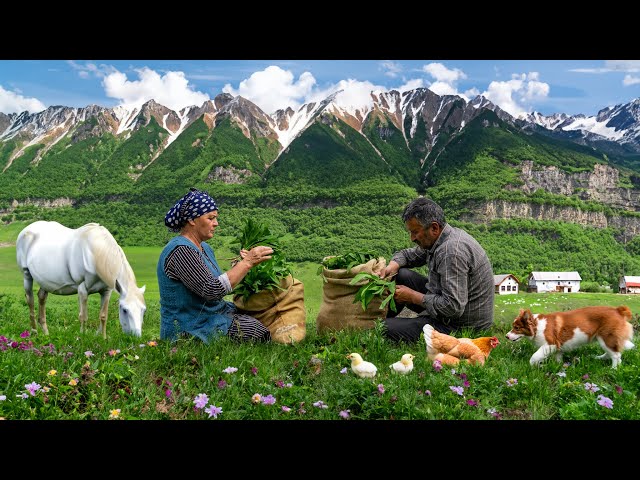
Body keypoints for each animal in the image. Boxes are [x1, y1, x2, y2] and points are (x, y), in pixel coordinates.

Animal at [15, 221, 146, 338]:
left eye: (143, 310)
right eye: (124, 310)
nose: (136, 336)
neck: (96, 254)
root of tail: (26, 229)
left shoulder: (106, 291)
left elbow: (103, 315)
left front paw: (103, 338)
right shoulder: (83, 289)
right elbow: (83, 316)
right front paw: (82, 338)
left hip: (45, 281)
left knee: (42, 297)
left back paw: (46, 333)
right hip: (27, 275)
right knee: (30, 300)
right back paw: (34, 332)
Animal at [504, 306, 636, 370]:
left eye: (516, 328)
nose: (506, 336)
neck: (537, 326)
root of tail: (618, 310)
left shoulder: (549, 344)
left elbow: (534, 357)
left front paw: (533, 366)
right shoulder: (557, 347)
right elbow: (558, 358)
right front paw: (557, 366)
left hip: (607, 338)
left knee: (616, 355)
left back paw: (613, 369)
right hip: (602, 339)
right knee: (610, 353)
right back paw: (598, 358)